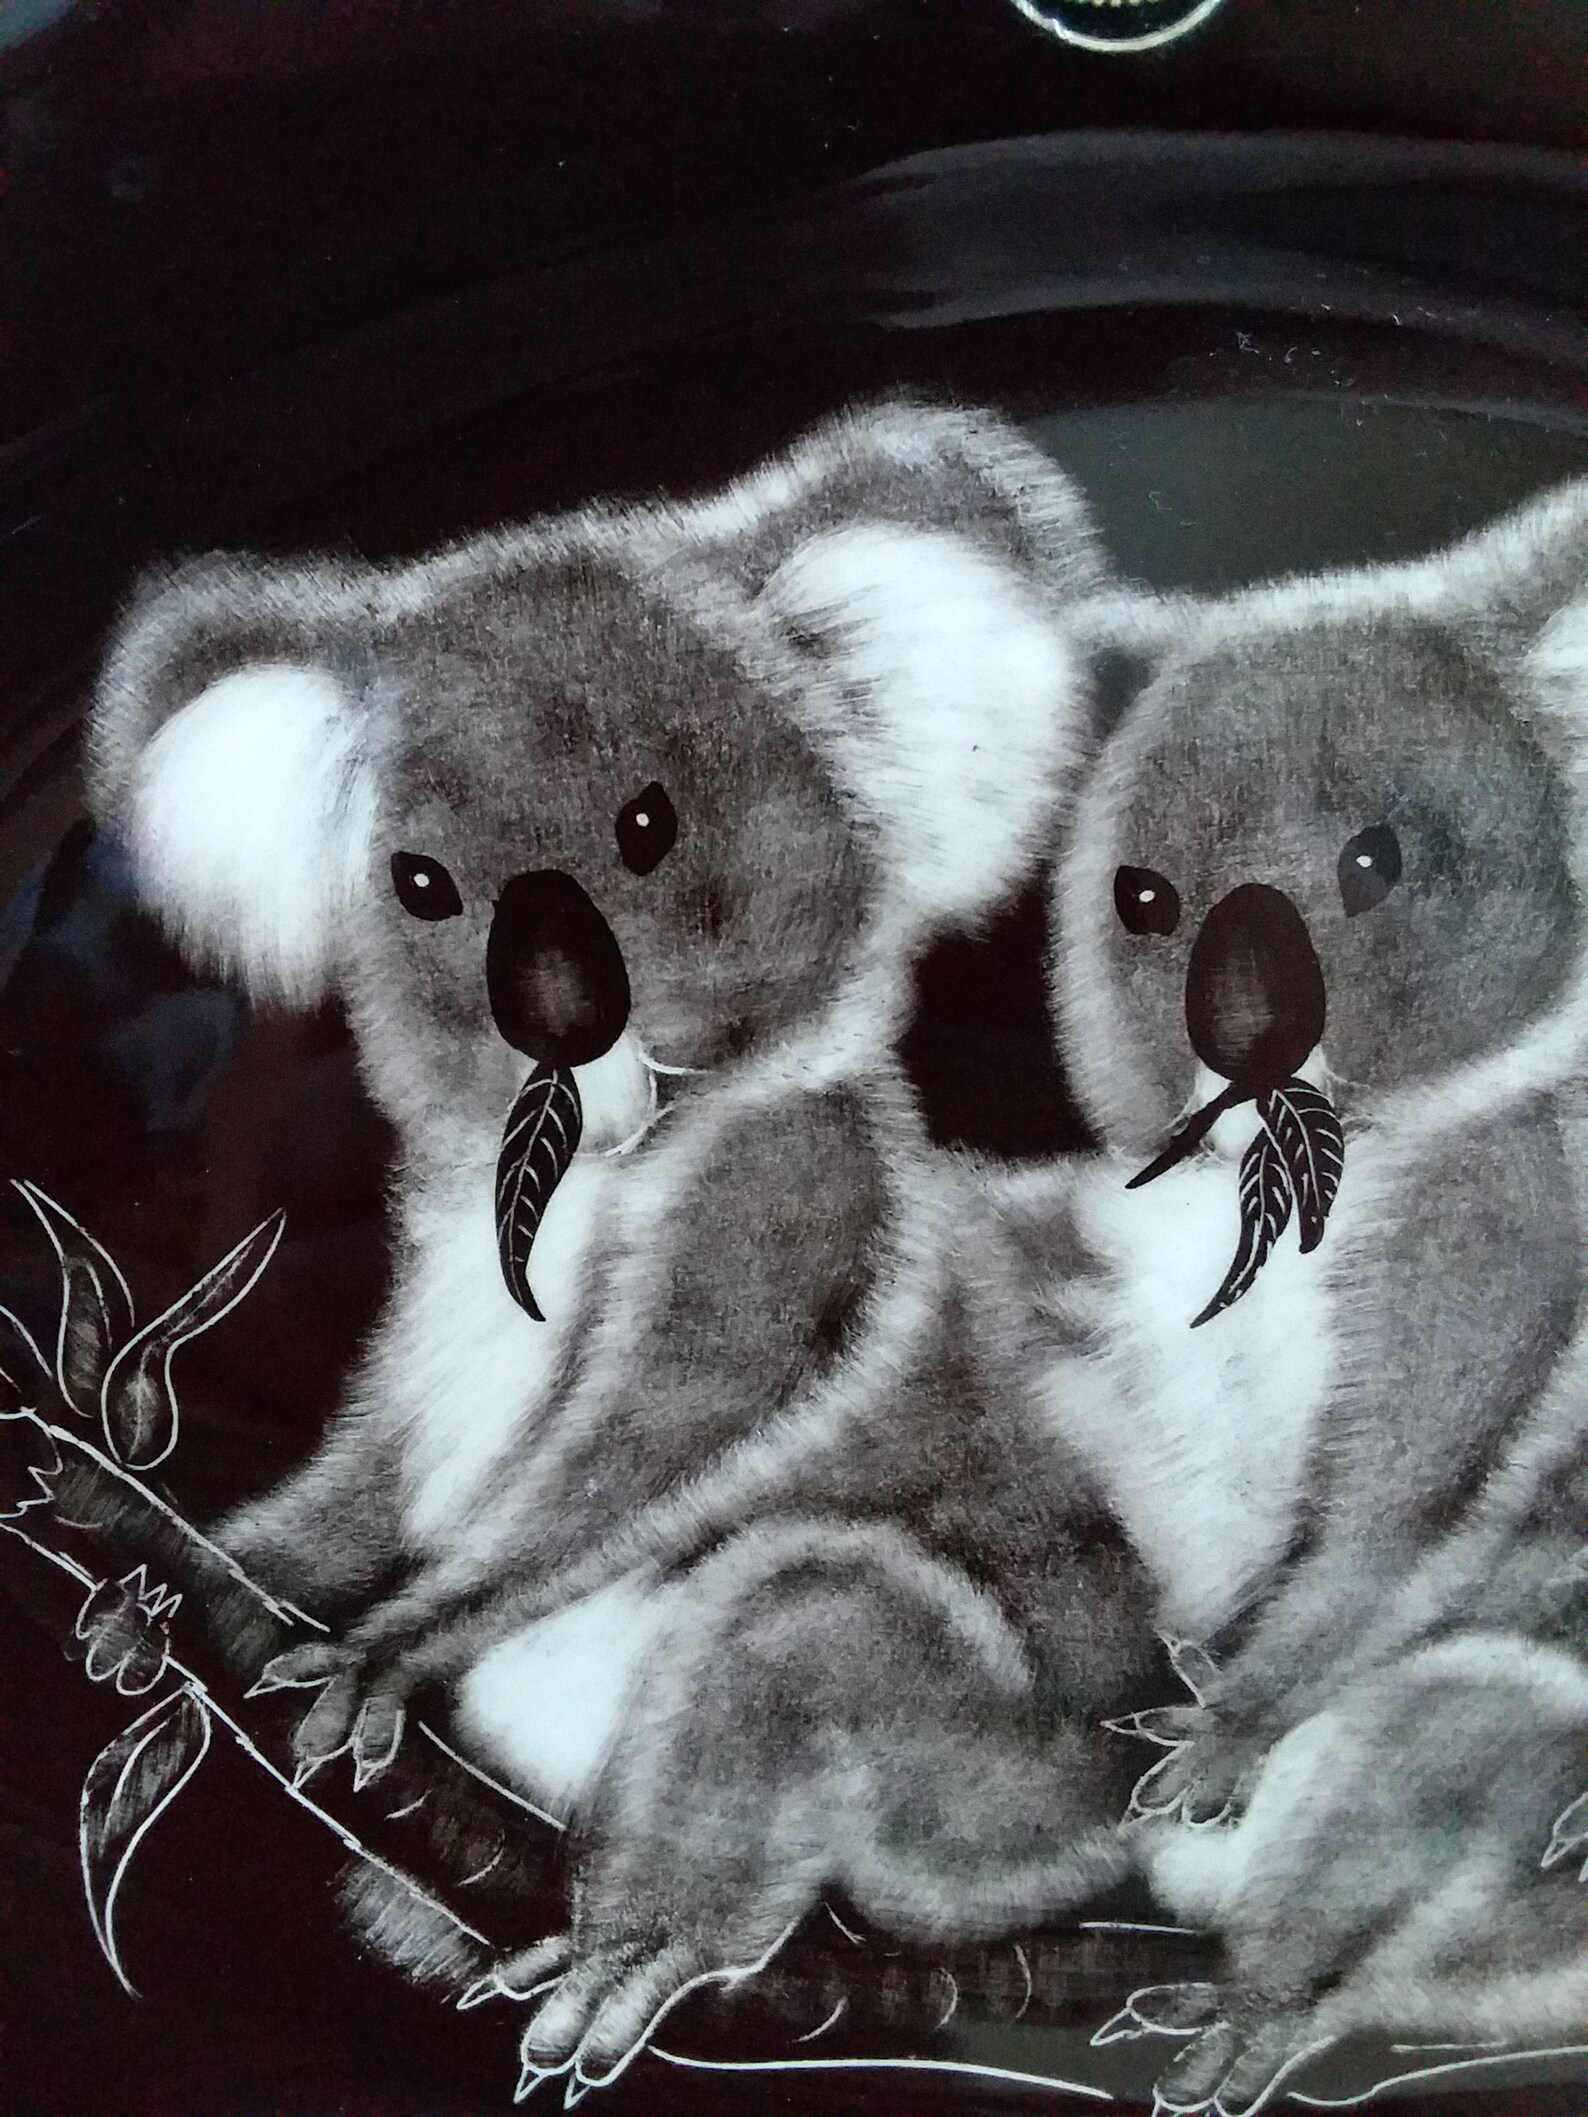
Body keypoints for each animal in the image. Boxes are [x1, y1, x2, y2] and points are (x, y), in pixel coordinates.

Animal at [88, 401, 1163, 2091]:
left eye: (649, 829)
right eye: (423, 884)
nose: (560, 1007)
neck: (582, 1174)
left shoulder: (778, 1211)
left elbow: (648, 1442)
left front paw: (380, 1659)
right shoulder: (430, 1290)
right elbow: (365, 1475)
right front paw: (181, 1578)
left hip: (1000, 1791)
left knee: (801, 1639)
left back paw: (642, 1949)